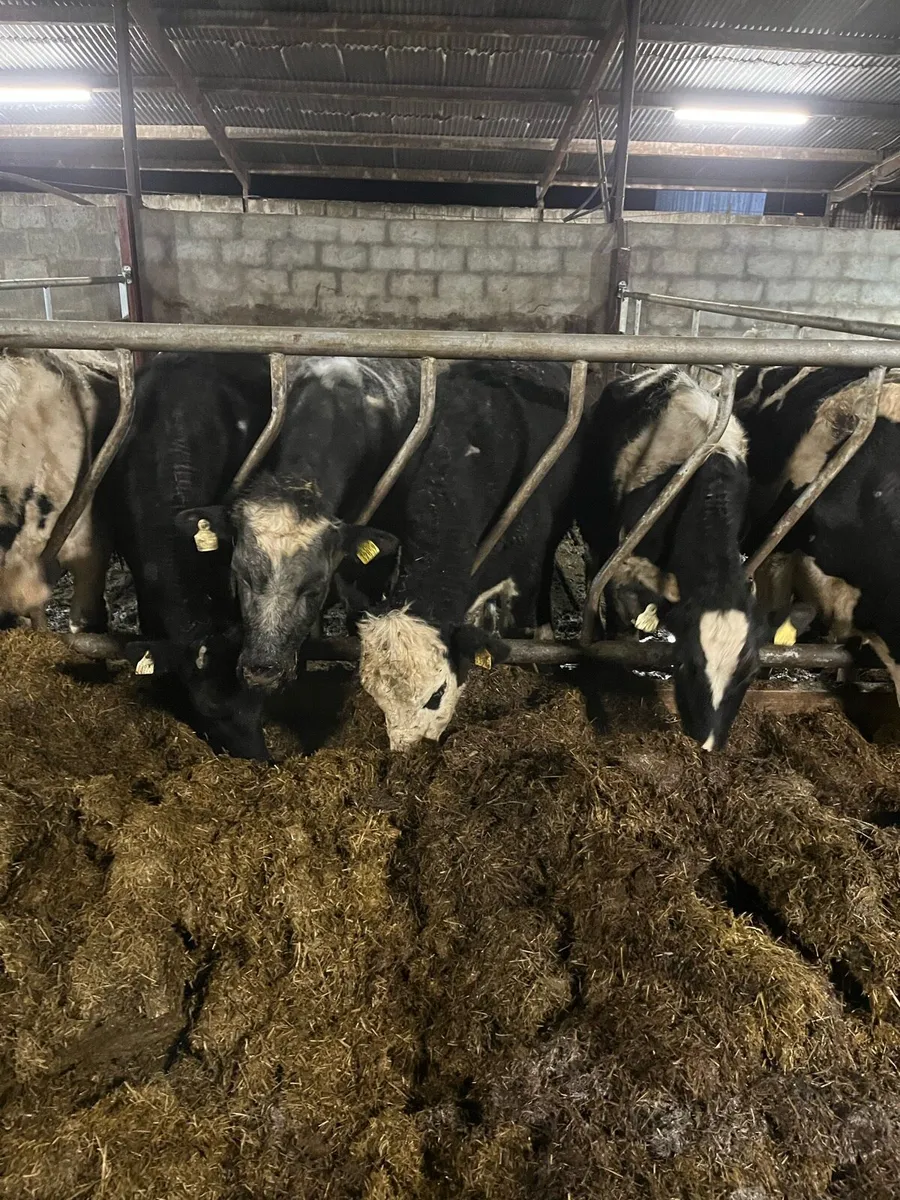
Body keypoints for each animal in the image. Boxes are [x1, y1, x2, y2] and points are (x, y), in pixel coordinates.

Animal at [576, 365, 764, 751]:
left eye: (751, 670)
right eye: (689, 664)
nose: (709, 743)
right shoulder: (626, 567)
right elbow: (623, 625)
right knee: (592, 562)